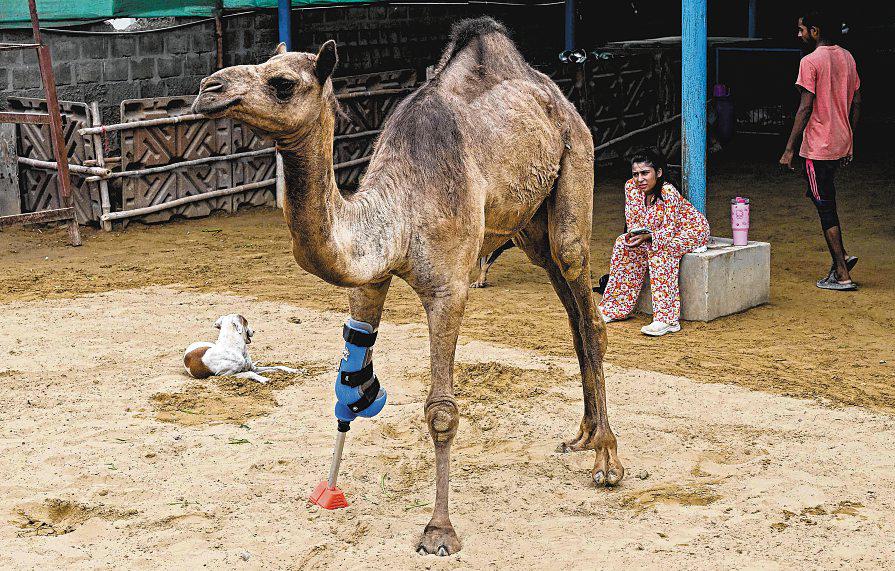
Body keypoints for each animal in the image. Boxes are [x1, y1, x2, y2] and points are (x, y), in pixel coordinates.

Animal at [193, 17, 623, 556]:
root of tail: (558, 97)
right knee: (571, 312)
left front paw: (438, 531)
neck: (396, 214)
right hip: (529, 227)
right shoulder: (368, 282)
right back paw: (582, 435)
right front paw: (327, 490)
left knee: (588, 309)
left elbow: (441, 411)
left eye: (282, 83)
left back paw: (607, 460)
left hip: (574, 166)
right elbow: (347, 388)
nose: (207, 89)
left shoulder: (448, 288)